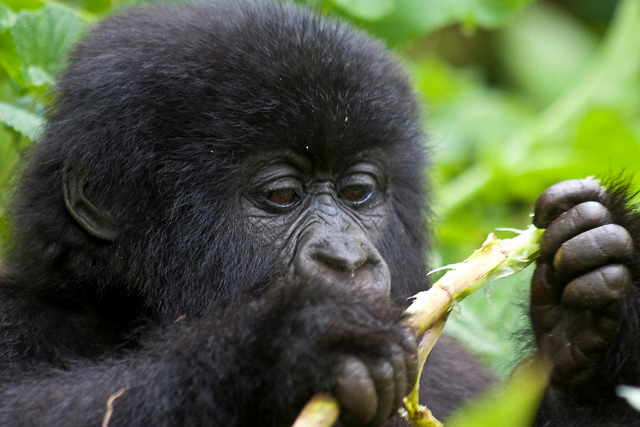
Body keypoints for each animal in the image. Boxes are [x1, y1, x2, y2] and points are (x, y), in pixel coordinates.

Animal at [0, 0, 636, 427]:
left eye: (358, 192)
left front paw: (588, 317)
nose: (347, 259)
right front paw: (281, 347)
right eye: (282, 195)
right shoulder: (19, 313)